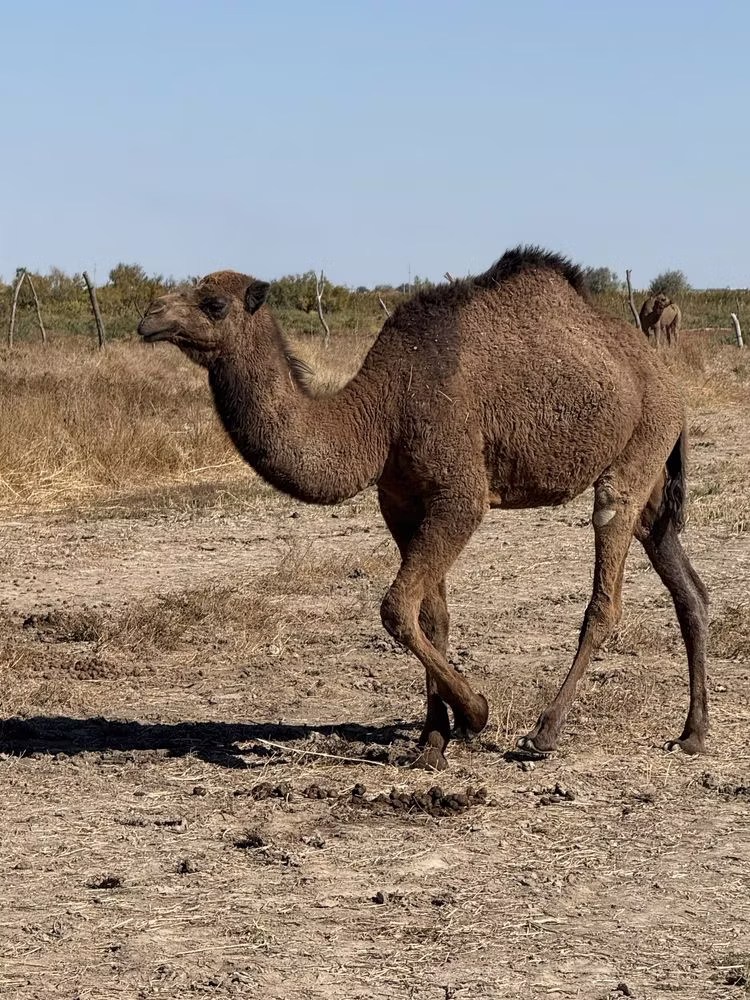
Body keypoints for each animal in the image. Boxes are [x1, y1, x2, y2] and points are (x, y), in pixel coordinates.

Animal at [138, 247, 709, 771]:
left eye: (213, 303)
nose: (150, 316)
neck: (380, 413)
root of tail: (668, 381)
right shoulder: (400, 502)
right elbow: (430, 615)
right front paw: (432, 741)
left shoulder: (460, 496)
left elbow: (395, 606)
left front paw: (475, 715)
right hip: (652, 480)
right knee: (687, 586)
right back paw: (692, 735)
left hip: (637, 449)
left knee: (606, 587)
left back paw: (544, 733)